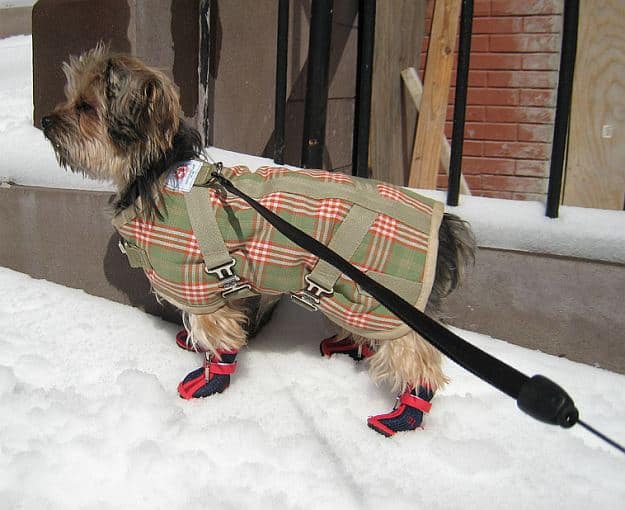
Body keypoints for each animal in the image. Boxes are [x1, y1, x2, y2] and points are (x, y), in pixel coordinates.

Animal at [42, 44, 472, 434]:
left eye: (85, 107)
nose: (45, 119)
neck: (156, 171)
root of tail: (445, 226)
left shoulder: (200, 286)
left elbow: (220, 339)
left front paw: (208, 382)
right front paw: (192, 345)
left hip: (383, 302)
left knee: (416, 360)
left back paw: (400, 418)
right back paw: (350, 346)